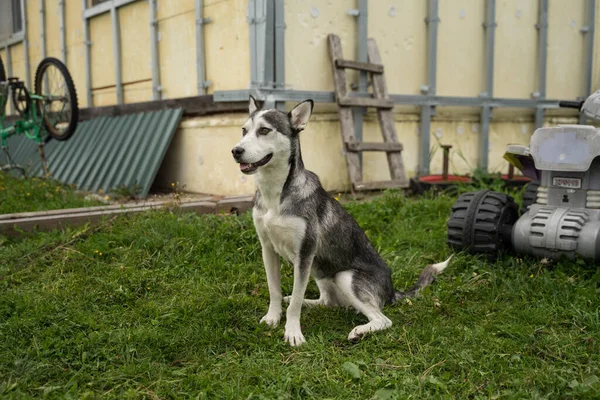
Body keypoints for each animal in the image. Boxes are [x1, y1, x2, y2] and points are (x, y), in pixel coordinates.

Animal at [232, 97, 448, 346]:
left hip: (345, 276)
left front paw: (293, 331)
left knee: (383, 320)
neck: (276, 193)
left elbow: (296, 301)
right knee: (326, 301)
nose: (235, 151)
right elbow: (275, 290)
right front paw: (273, 317)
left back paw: (359, 331)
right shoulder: (268, 248)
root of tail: (392, 290)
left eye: (264, 130)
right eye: (244, 130)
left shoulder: (305, 253)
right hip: (321, 272)